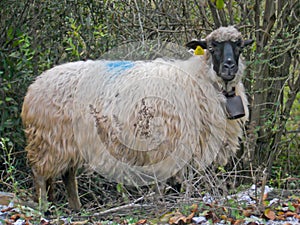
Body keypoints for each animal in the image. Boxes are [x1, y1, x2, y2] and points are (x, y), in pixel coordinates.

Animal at [21, 25, 253, 211]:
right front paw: (164, 203)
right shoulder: (168, 143)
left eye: (239, 46)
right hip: (48, 140)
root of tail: (36, 84)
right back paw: (44, 208)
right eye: (212, 47)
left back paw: (77, 209)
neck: (200, 78)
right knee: (40, 174)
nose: (229, 67)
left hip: (68, 142)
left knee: (68, 175)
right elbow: (166, 183)